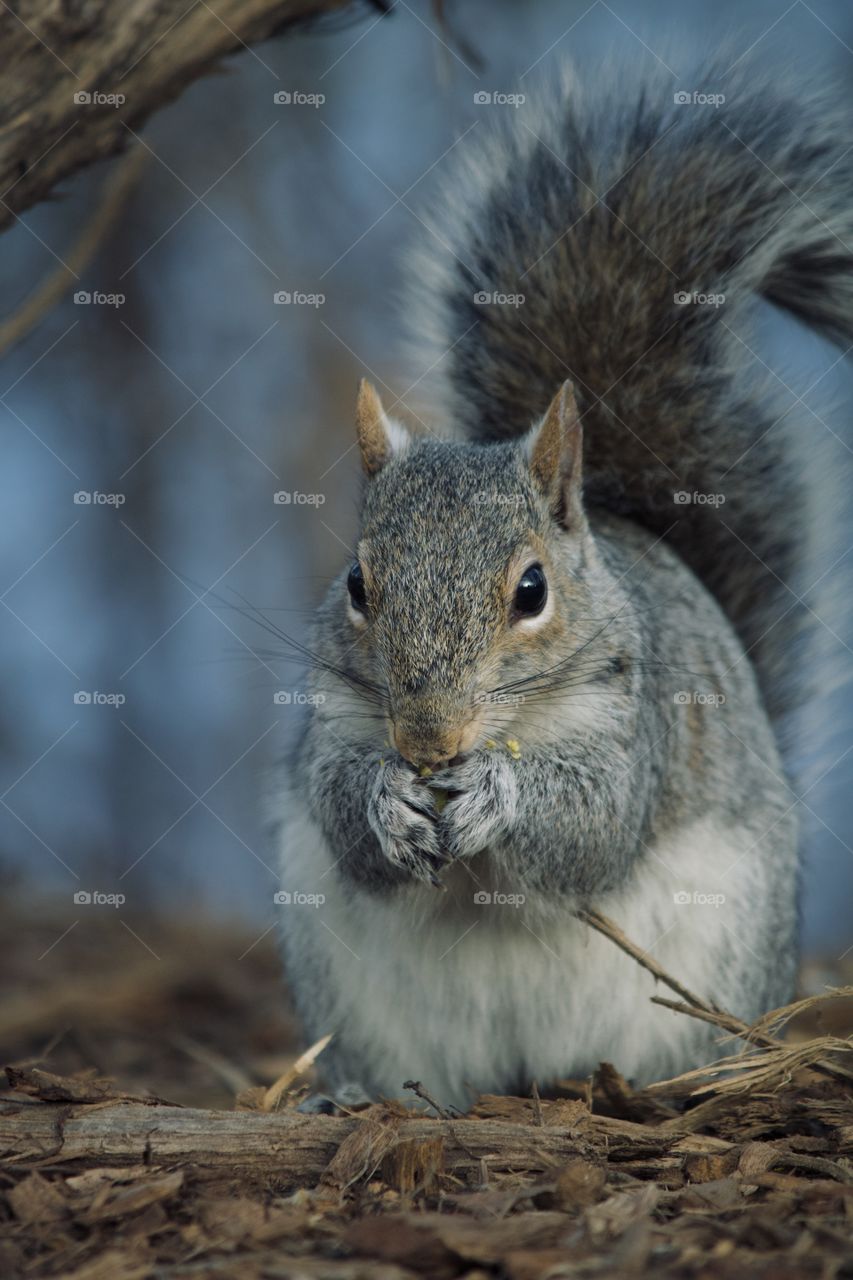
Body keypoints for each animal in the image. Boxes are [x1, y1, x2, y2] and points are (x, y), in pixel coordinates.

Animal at [273, 65, 847, 1112]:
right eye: (357, 584)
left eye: (532, 591)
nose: (428, 744)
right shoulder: (333, 711)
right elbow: (336, 807)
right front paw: (384, 798)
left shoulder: (636, 718)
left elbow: (594, 826)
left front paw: (495, 789)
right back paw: (351, 1096)